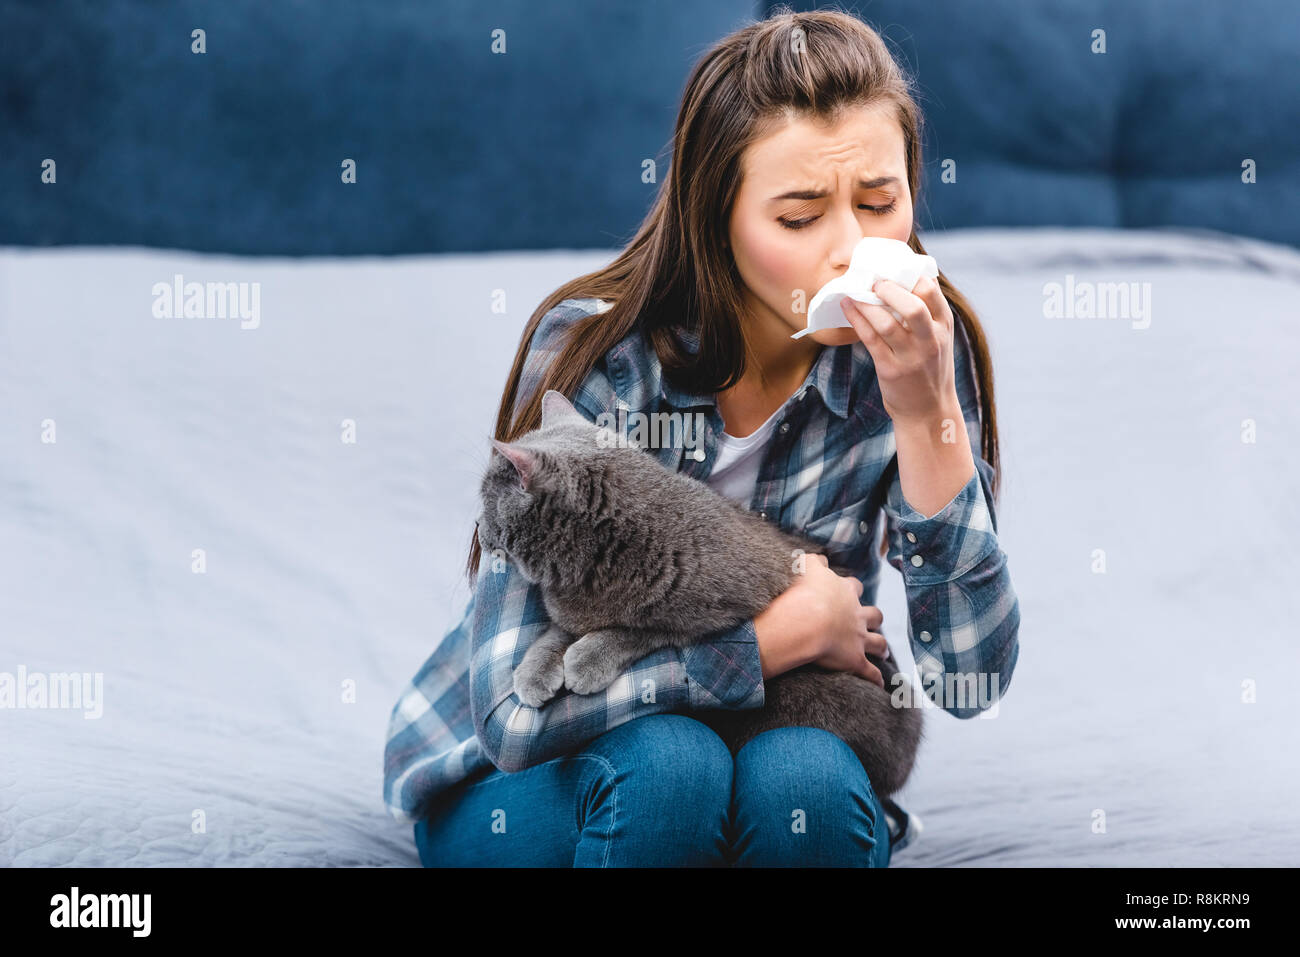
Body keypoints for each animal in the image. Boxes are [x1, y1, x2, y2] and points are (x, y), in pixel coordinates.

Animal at [478, 384, 925, 795]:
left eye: (484, 500)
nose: (479, 528)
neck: (593, 560)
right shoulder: (569, 615)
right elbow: (552, 634)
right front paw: (534, 674)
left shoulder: (725, 606)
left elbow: (643, 630)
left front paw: (587, 658)